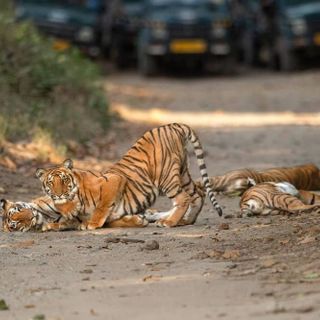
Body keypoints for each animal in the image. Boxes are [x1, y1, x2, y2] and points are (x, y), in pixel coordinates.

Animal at [33, 122, 222, 230]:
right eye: (50, 183)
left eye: (64, 180)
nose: (59, 195)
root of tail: (172, 125)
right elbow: (112, 219)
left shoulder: (113, 180)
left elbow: (102, 207)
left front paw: (92, 224)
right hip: (182, 173)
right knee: (198, 193)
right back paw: (185, 221)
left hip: (166, 177)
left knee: (183, 198)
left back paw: (169, 222)